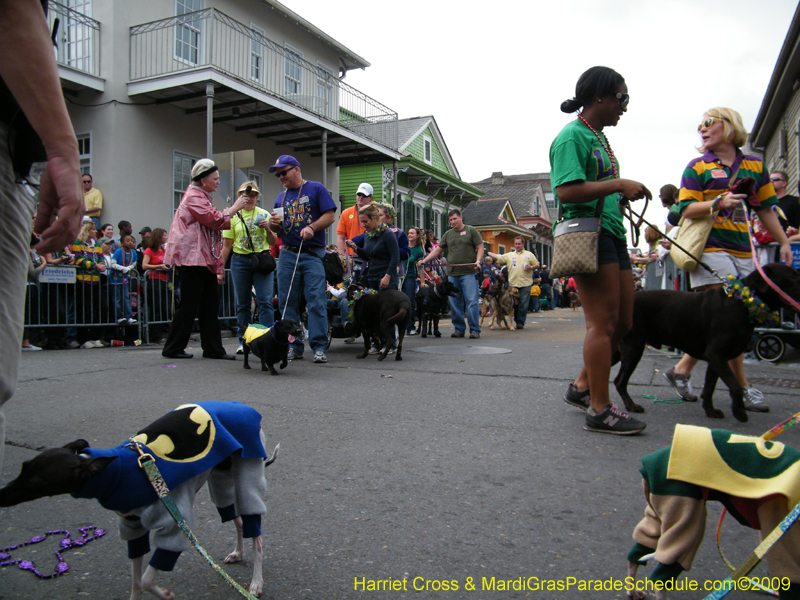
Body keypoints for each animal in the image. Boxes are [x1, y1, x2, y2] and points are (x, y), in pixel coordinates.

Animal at [612, 264, 800, 424]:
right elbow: (735, 386)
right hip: (633, 347)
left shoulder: (716, 359)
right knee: (619, 380)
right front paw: (739, 412)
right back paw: (631, 406)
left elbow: (709, 388)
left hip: (618, 350)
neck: (742, 302)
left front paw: (710, 411)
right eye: (792, 277)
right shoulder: (717, 355)